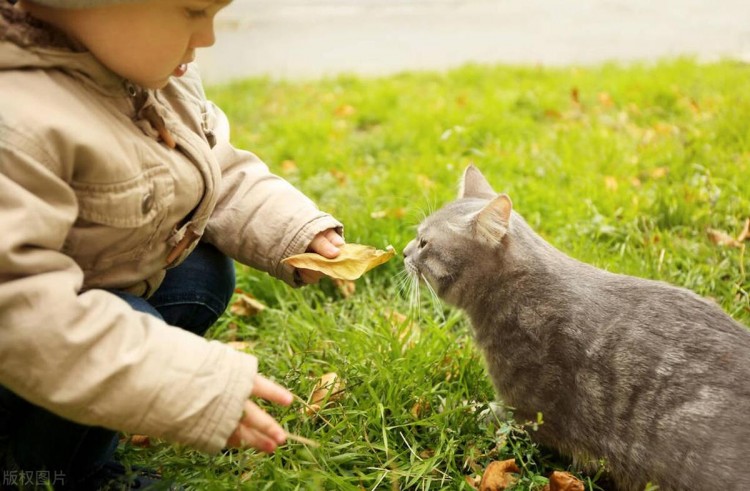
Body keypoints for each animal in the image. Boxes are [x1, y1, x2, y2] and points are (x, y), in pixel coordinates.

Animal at [406, 166, 750, 491]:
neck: (519, 294)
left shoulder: (522, 413)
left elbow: (477, 415)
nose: (405, 251)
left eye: (424, 242)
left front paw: (447, 410)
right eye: (417, 237)